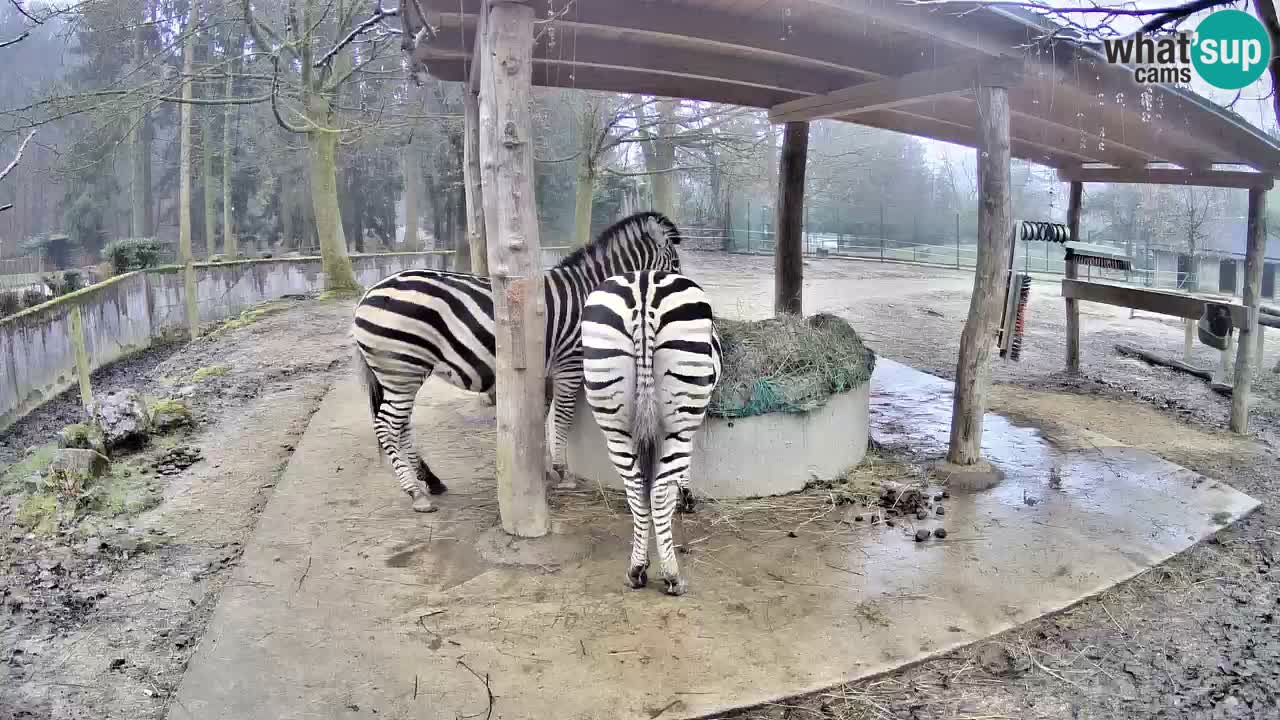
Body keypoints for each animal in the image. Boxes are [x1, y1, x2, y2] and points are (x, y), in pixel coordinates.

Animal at [350, 210, 686, 512]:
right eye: (675, 264)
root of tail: (367, 295)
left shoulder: (547, 370)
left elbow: (542, 415)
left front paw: (544, 469)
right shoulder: (570, 362)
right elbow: (562, 416)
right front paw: (562, 472)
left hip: (401, 374)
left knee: (402, 425)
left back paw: (430, 480)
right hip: (402, 368)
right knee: (386, 426)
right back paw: (415, 493)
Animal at [581, 269, 721, 594]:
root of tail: (643, 290)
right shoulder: (686, 425)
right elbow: (675, 476)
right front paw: (685, 497)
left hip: (613, 420)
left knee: (636, 489)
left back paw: (636, 569)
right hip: (680, 416)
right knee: (655, 493)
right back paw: (672, 575)